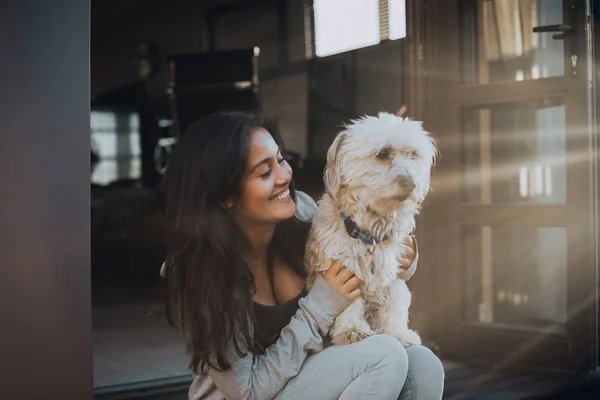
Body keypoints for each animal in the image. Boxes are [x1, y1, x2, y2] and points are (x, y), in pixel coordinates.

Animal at [304, 112, 436, 346]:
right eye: (382, 153)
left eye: (413, 154)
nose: (410, 183)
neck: (370, 233)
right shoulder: (345, 270)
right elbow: (348, 305)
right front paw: (352, 330)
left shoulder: (393, 275)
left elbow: (395, 304)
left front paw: (397, 332)